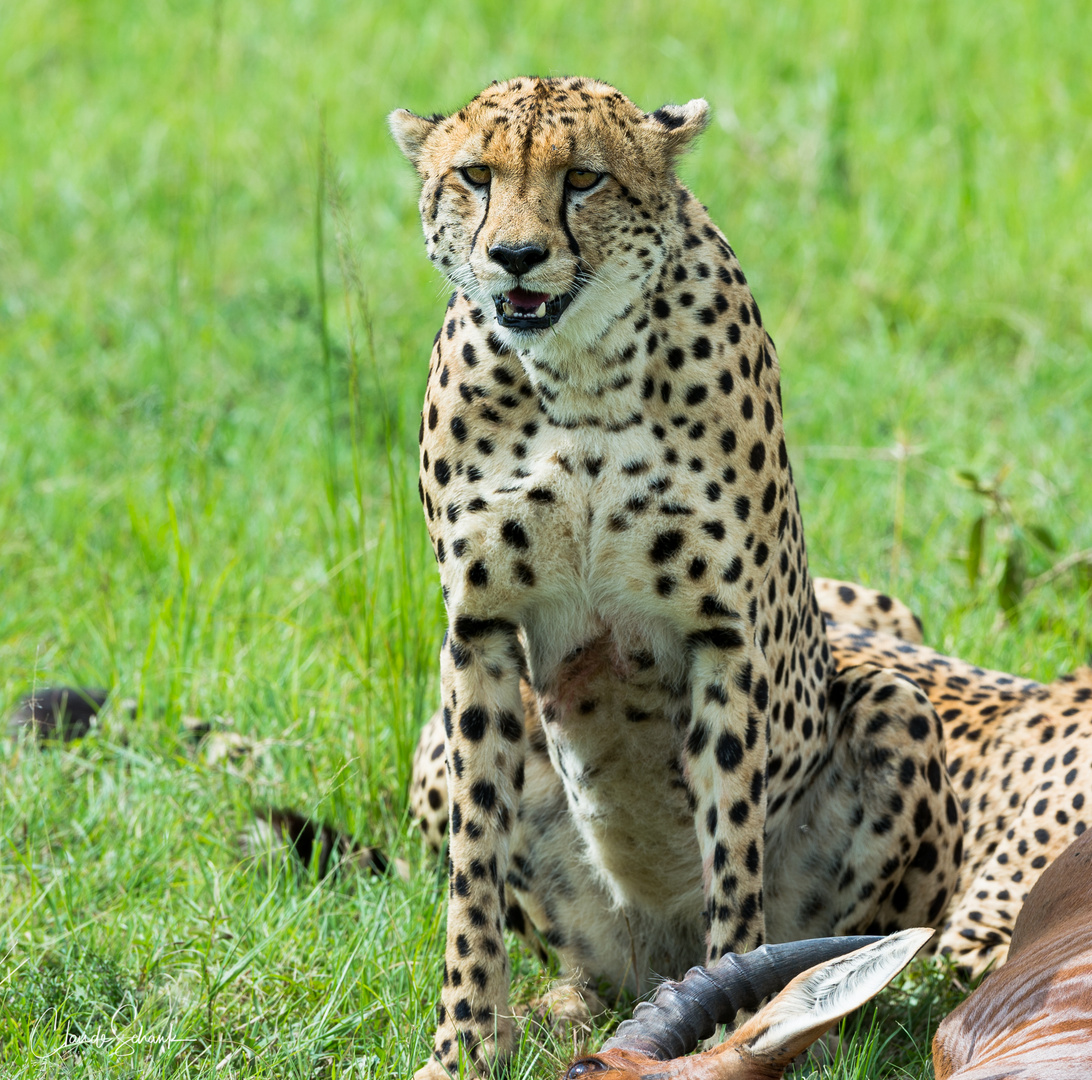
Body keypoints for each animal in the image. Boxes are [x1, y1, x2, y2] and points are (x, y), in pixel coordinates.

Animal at [390, 73, 965, 1070]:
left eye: (583, 178)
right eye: (475, 175)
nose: (514, 257)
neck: (576, 371)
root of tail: (651, 952)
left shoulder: (722, 635)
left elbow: (731, 849)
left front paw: (735, 1025)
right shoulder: (481, 629)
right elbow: (471, 868)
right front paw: (463, 1044)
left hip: (898, 710)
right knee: (584, 960)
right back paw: (565, 1002)